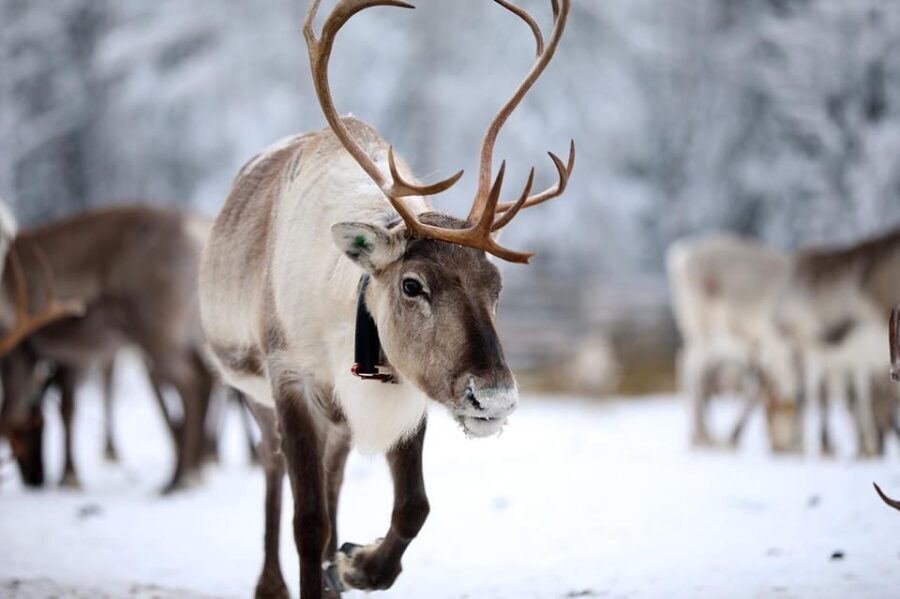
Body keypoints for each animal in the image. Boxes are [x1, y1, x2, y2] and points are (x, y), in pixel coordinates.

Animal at [0, 204, 215, 493]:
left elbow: (65, 408)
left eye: (35, 426)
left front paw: (69, 476)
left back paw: (183, 478)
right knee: (204, 377)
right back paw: (183, 473)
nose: (35, 479)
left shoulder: (54, 348)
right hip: (190, 331)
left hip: (157, 330)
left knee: (192, 382)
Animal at [198, 1, 574, 596]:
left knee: (334, 475)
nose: (493, 399)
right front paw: (326, 568)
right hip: (251, 391)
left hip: (337, 422)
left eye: (497, 285)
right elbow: (307, 521)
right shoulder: (290, 377)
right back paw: (272, 583)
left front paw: (357, 563)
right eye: (412, 284)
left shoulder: (406, 386)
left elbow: (414, 506)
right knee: (272, 467)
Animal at [667, 232, 801, 452]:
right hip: (704, 332)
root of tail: (682, 254)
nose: (780, 447)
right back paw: (703, 437)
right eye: (778, 407)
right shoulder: (775, 346)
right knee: (692, 368)